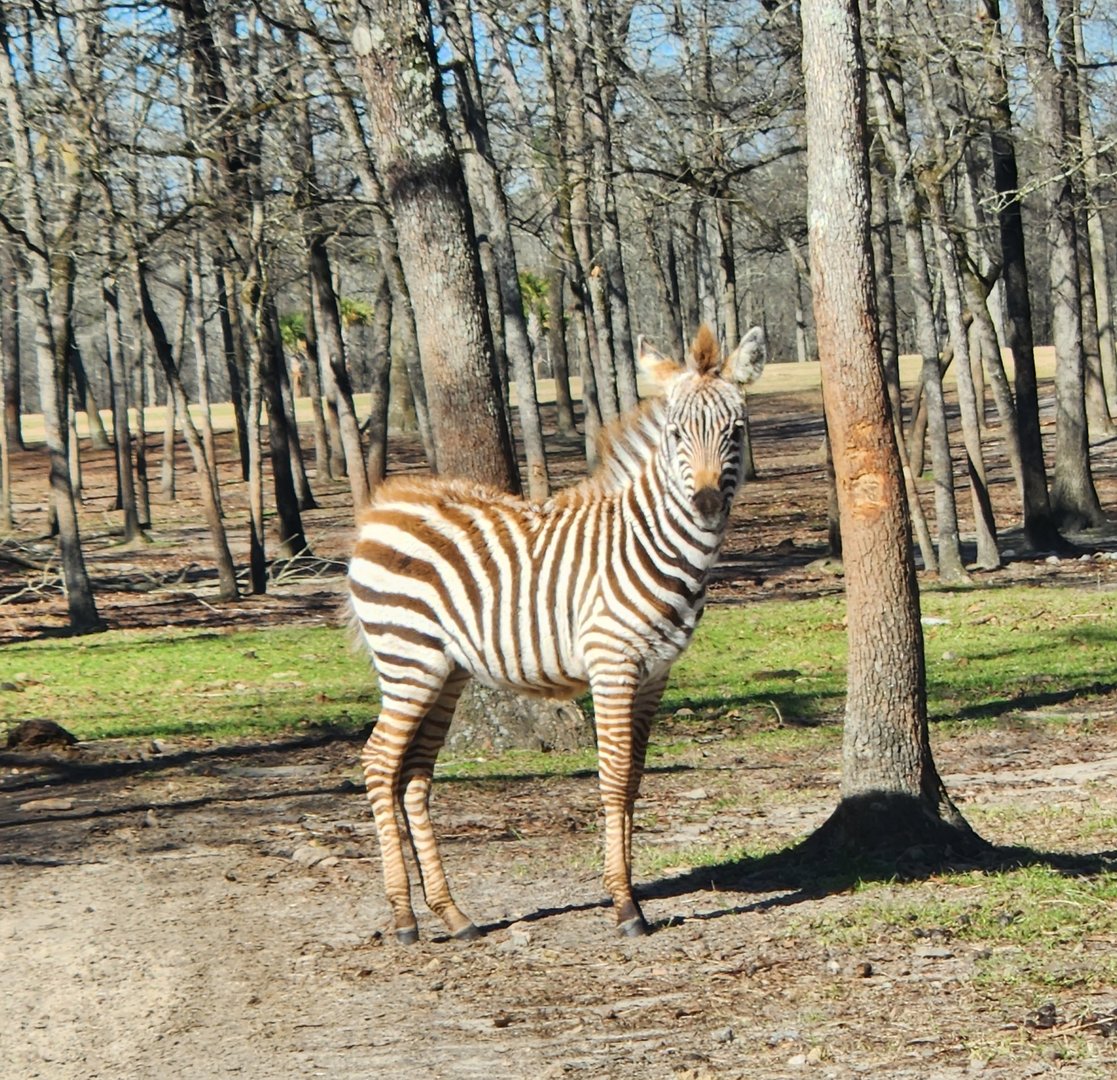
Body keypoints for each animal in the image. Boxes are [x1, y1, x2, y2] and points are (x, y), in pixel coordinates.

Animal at [348, 324, 766, 941]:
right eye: (675, 433)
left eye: (735, 430)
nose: (709, 503)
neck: (651, 542)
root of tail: (382, 507)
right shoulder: (612, 665)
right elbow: (613, 775)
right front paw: (625, 906)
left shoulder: (655, 674)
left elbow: (634, 778)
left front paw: (629, 890)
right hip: (409, 660)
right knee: (379, 762)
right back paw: (403, 917)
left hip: (446, 672)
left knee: (415, 774)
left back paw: (452, 913)